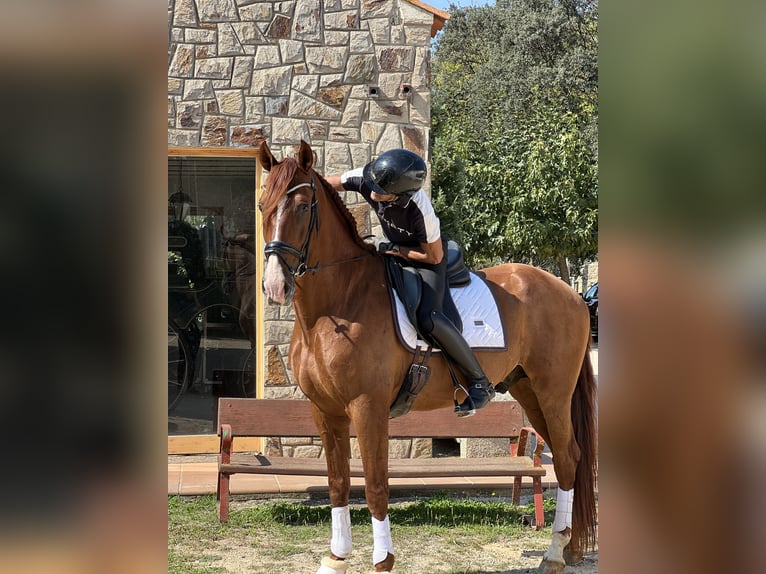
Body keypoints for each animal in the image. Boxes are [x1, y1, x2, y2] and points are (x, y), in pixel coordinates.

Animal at [256, 140, 597, 574]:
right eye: (263, 204)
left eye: (301, 207)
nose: (275, 285)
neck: (336, 305)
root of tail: (570, 293)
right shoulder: (325, 411)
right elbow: (338, 484)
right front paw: (335, 558)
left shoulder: (367, 408)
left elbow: (375, 484)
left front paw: (382, 561)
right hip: (528, 391)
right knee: (568, 454)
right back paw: (567, 548)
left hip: (553, 392)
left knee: (567, 458)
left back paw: (554, 552)